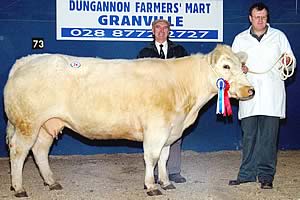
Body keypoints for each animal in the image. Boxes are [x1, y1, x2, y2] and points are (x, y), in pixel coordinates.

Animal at [4, 44, 253, 197]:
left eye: (242, 66)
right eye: (226, 66)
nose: (250, 90)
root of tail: (26, 61)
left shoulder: (170, 131)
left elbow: (164, 158)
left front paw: (165, 182)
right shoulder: (156, 128)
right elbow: (152, 158)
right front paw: (151, 186)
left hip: (47, 124)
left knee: (40, 151)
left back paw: (51, 182)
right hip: (28, 123)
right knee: (18, 151)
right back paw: (19, 187)